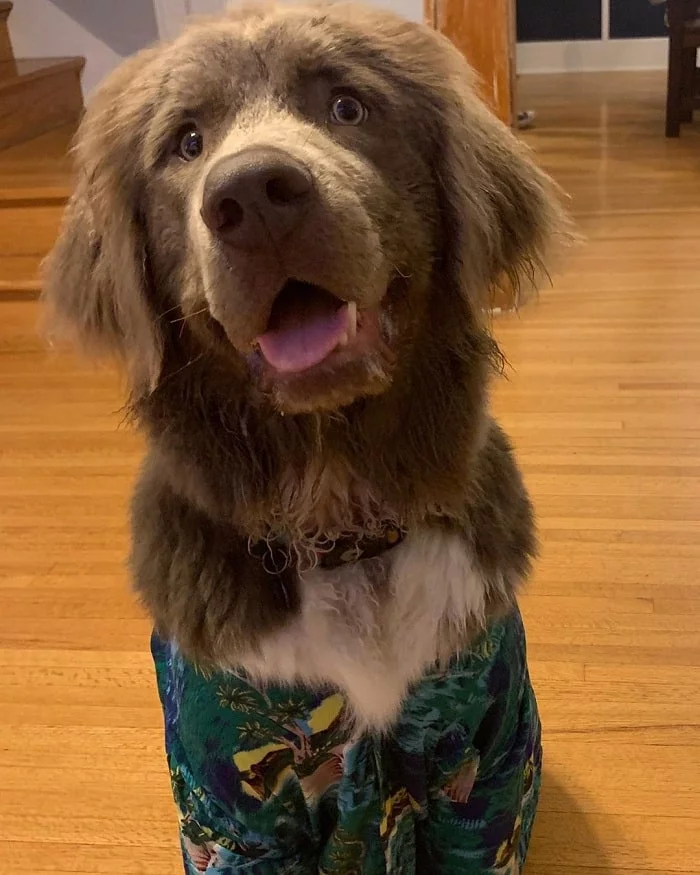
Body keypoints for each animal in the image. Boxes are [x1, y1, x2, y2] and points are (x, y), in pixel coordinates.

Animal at [43, 0, 568, 816]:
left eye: (347, 107)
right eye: (186, 142)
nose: (254, 196)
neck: (336, 517)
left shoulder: (490, 757)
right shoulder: (229, 799)